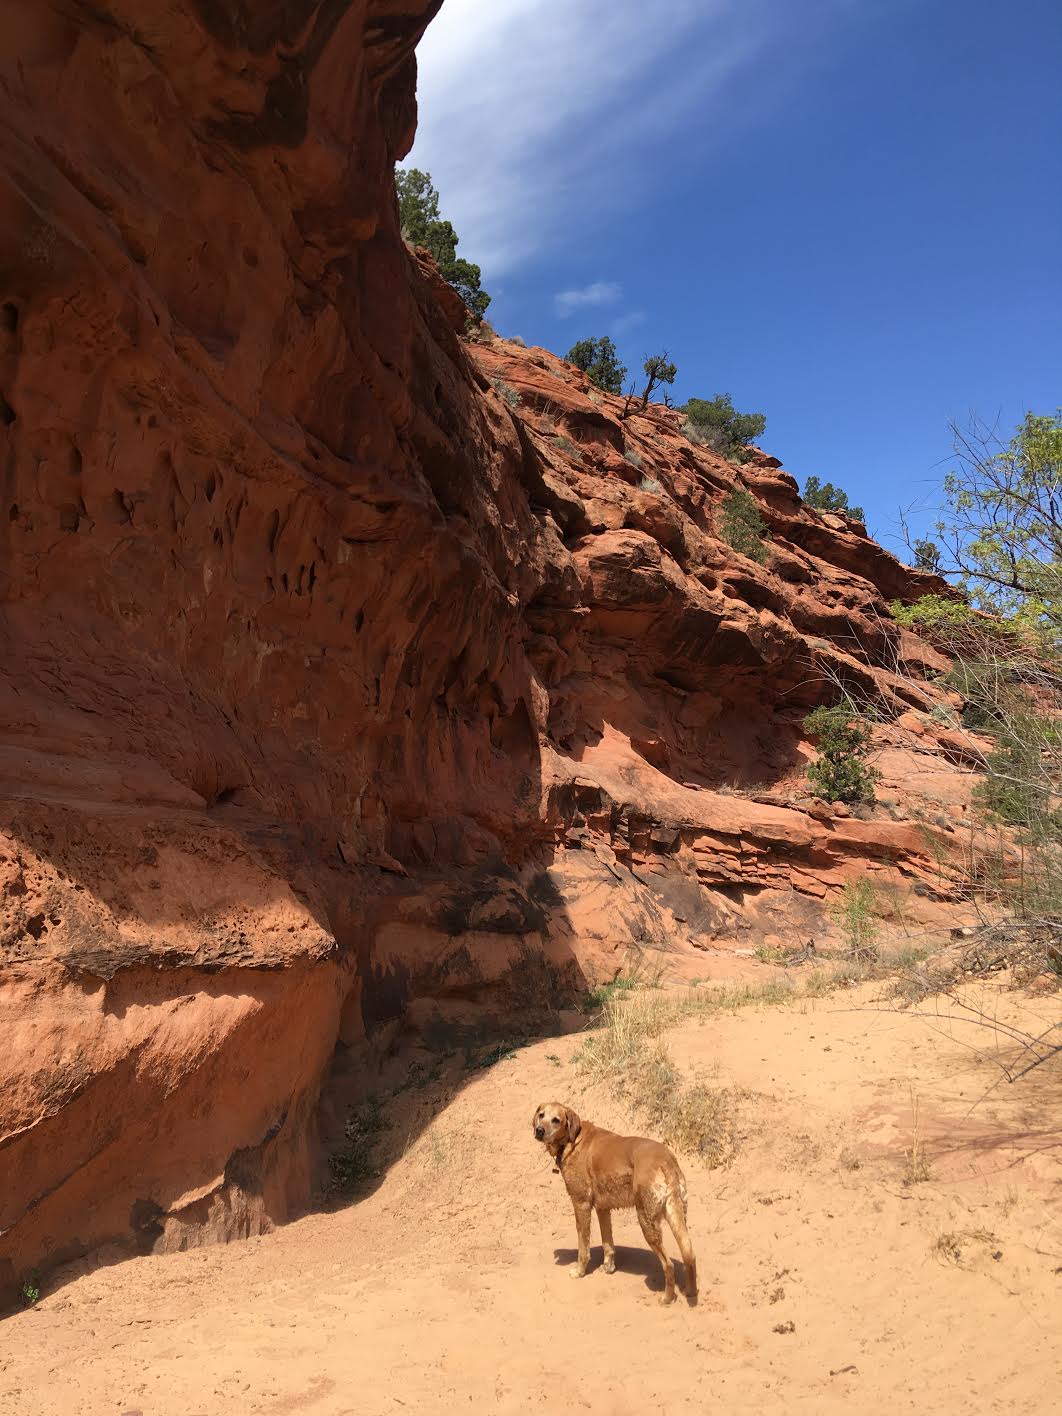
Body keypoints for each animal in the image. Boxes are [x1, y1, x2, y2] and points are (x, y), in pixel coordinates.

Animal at [532, 1104, 699, 1302]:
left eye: (556, 1120)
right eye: (541, 1115)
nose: (539, 1130)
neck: (573, 1140)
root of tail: (666, 1161)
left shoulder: (581, 1205)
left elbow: (583, 1248)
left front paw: (580, 1271)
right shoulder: (603, 1209)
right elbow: (608, 1244)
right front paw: (608, 1268)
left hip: (647, 1221)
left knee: (669, 1264)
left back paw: (667, 1299)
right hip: (678, 1217)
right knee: (690, 1256)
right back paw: (690, 1291)